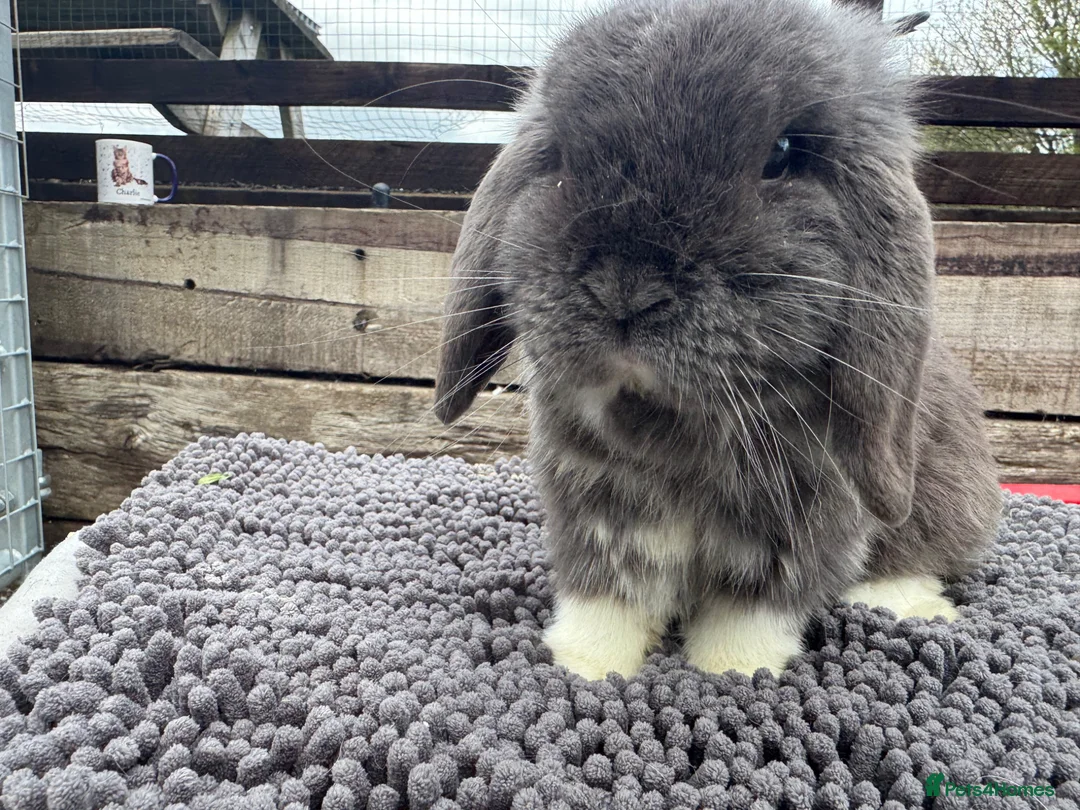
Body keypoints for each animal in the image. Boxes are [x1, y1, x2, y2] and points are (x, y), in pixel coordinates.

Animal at [434, 0, 1001, 680]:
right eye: (559, 157)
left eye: (782, 153)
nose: (626, 288)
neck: (675, 423)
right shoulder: (598, 507)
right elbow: (606, 596)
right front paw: (582, 668)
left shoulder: (801, 525)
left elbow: (752, 611)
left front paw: (729, 673)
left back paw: (910, 604)